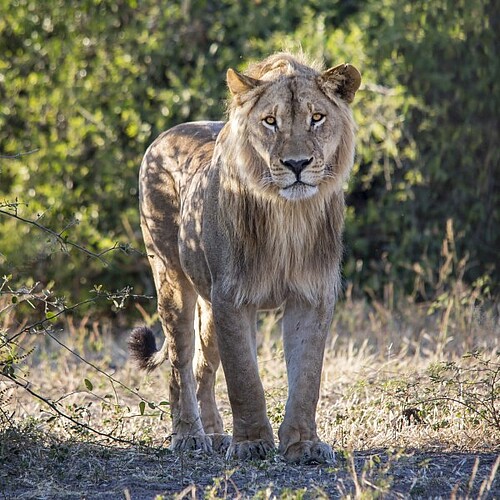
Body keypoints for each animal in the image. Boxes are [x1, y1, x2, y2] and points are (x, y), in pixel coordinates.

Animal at [129, 52, 360, 462]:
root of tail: (165, 134)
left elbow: (307, 377)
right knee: (179, 364)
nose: (297, 164)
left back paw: (215, 433)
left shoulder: (312, 295)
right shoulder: (232, 298)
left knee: (203, 367)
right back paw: (188, 436)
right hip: (171, 278)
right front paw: (252, 443)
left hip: (209, 305)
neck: (288, 215)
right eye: (270, 121)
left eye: (317, 118)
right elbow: (244, 379)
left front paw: (304, 444)